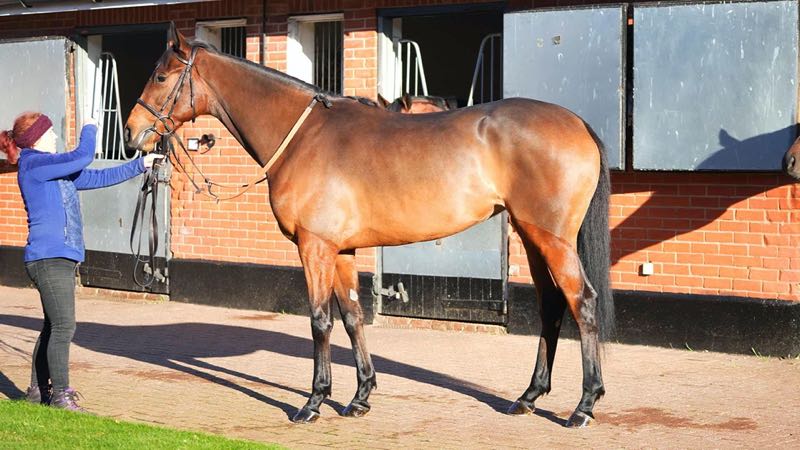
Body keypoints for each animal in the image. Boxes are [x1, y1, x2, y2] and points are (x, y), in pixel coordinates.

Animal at [124, 24, 613, 428]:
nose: (132, 133)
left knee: (582, 302)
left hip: (551, 239)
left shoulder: (314, 247)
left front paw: (313, 402)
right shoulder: (340, 251)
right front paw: (360, 397)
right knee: (552, 305)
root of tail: (576, 123)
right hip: (531, 237)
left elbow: (320, 320)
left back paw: (584, 406)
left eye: (162, 77)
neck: (304, 137)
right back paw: (528, 396)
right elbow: (353, 317)